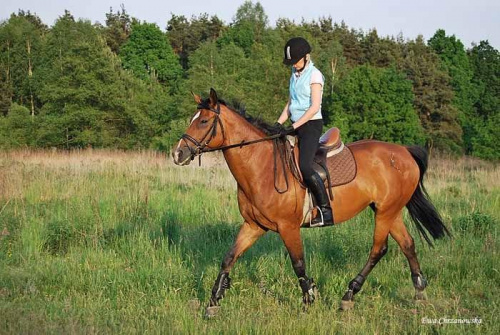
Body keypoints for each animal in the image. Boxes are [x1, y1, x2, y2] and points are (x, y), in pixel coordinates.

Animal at [171, 88, 450, 316]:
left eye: (204, 121)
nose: (177, 154)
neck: (261, 166)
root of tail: (404, 152)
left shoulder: (288, 227)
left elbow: (298, 263)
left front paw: (308, 300)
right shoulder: (254, 225)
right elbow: (229, 257)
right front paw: (214, 301)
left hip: (385, 212)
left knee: (378, 249)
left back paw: (349, 294)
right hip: (389, 210)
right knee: (408, 244)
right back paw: (419, 292)